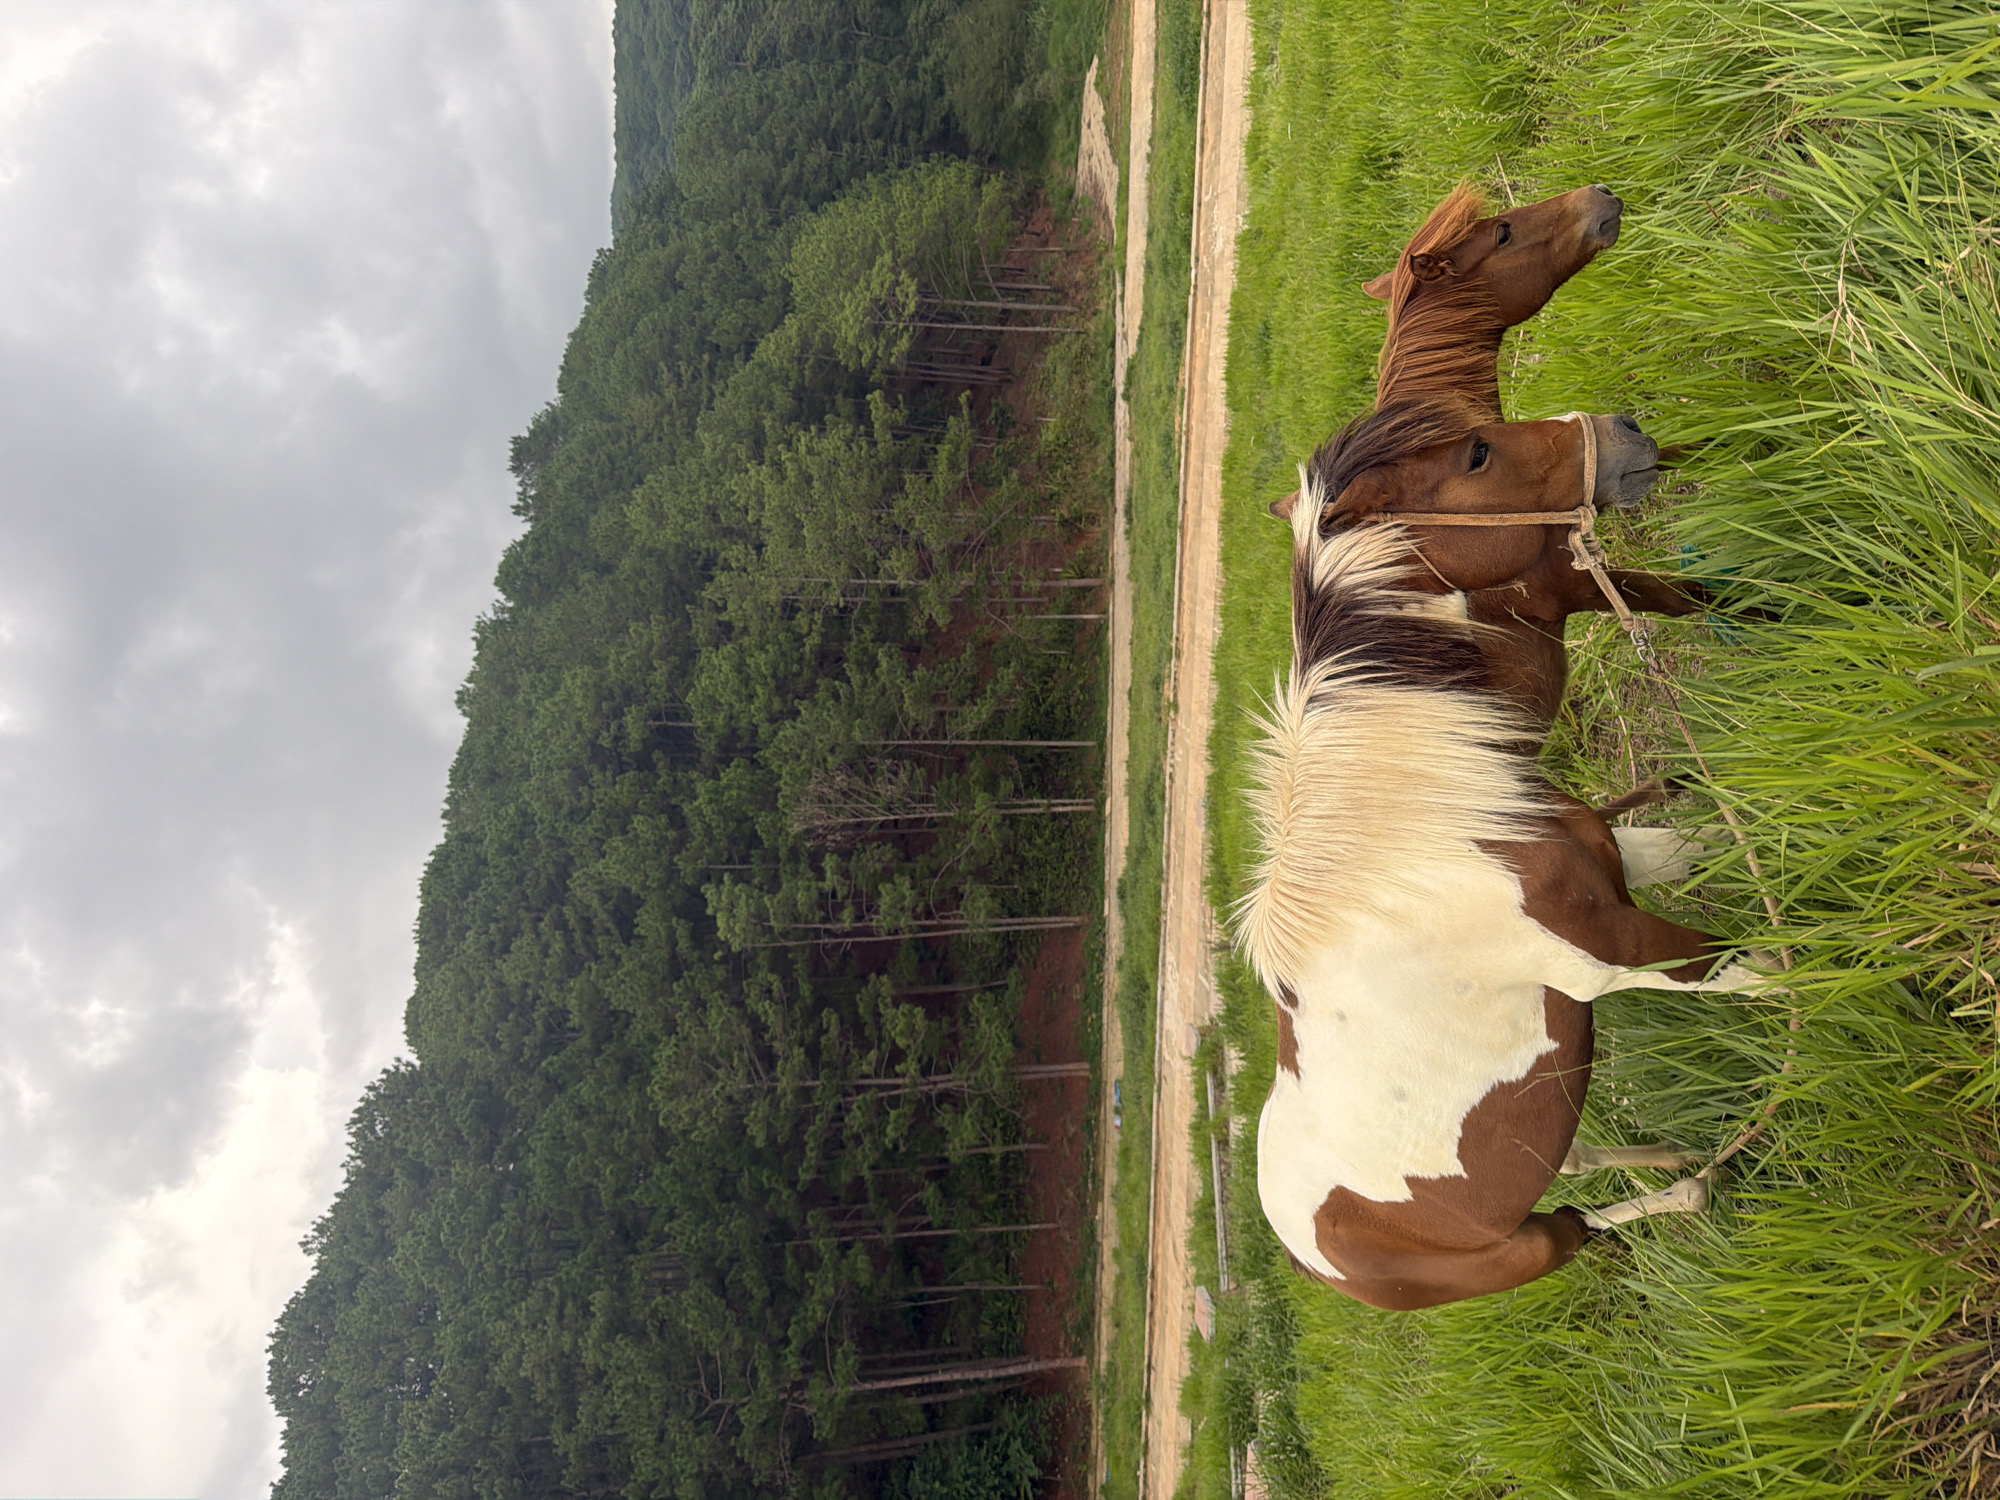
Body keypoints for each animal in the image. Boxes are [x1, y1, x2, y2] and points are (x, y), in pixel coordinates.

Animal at [1238, 408, 1773, 1311]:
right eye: (1478, 454)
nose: (1624, 429)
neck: (1413, 837)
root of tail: (1304, 1255)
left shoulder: (1614, 867)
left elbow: (1699, 845)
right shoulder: (1618, 956)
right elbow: (1767, 972)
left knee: (1578, 1164)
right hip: (1522, 1251)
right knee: (1579, 1226)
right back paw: (1693, 1184)